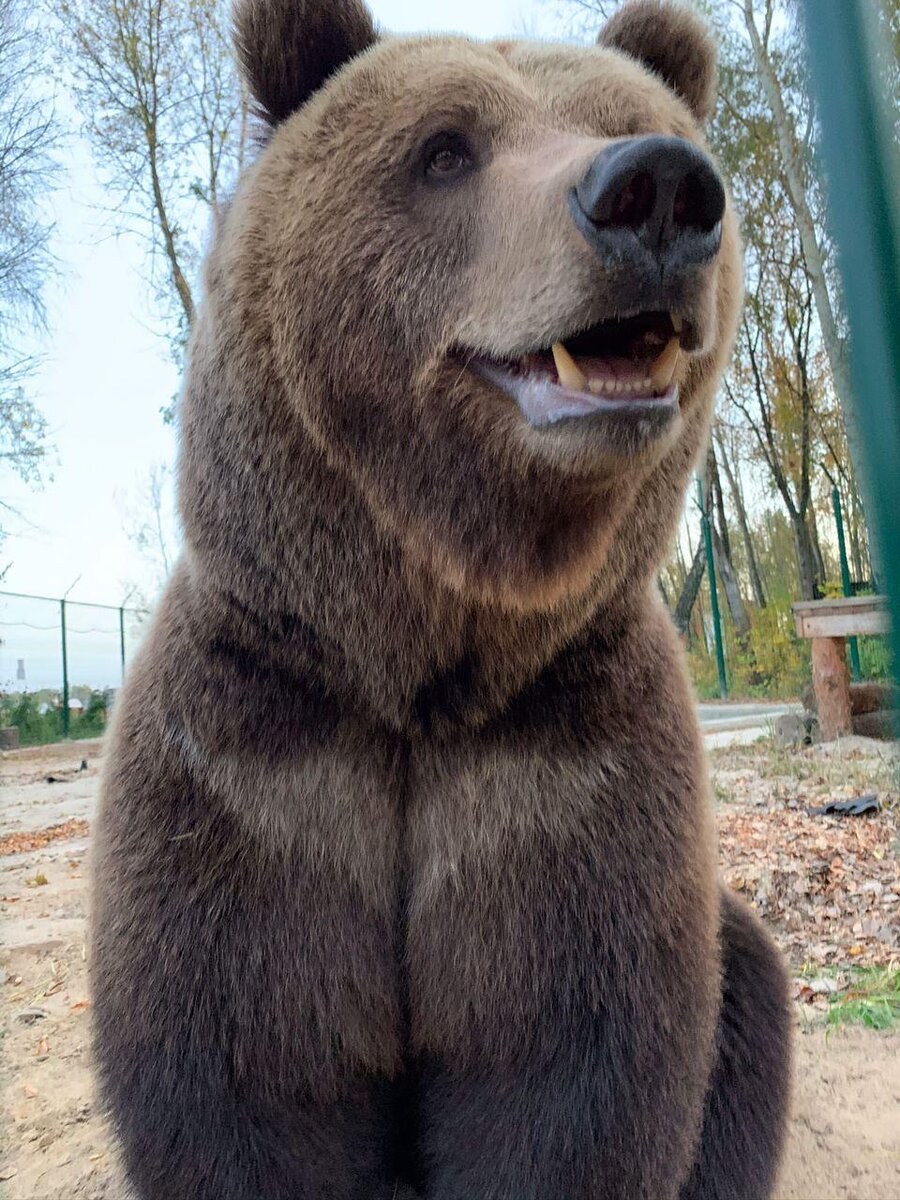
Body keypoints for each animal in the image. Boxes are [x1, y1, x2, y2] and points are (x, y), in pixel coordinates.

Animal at [91, 0, 792, 1195]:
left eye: (628, 122)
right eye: (445, 151)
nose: (657, 189)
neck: (425, 660)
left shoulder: (568, 760)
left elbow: (568, 1076)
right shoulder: (258, 758)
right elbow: (256, 1076)